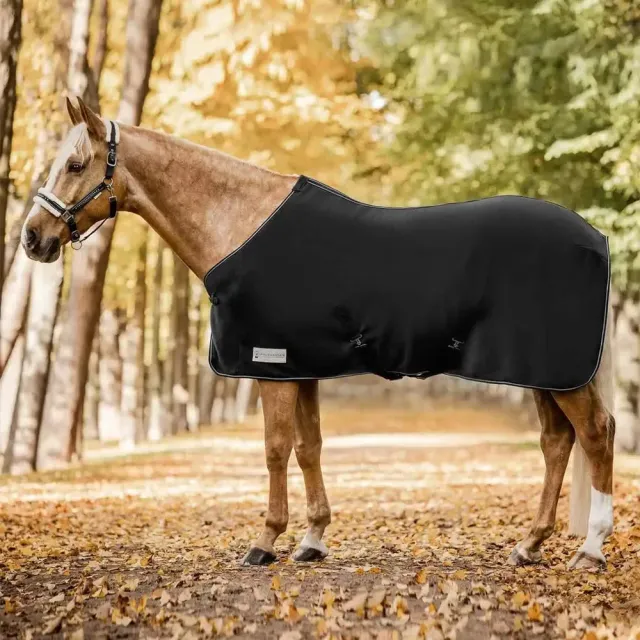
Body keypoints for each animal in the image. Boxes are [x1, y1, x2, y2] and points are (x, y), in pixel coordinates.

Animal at [21, 97, 615, 570]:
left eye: (75, 164)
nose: (32, 238)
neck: (240, 223)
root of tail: (597, 237)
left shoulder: (271, 365)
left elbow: (275, 449)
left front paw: (265, 541)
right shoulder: (300, 366)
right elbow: (309, 448)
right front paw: (312, 540)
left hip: (556, 370)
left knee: (595, 433)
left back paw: (590, 549)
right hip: (542, 371)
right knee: (557, 442)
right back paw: (529, 545)